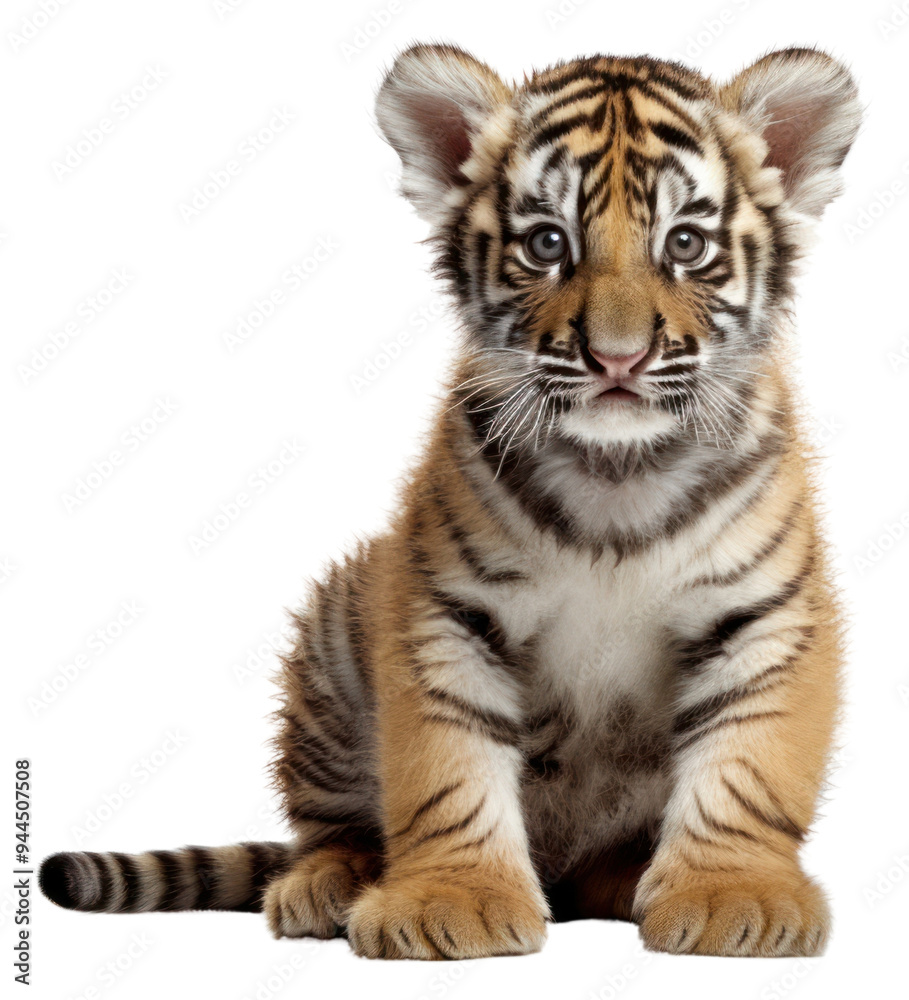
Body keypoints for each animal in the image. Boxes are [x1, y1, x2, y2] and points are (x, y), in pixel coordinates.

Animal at [40, 44, 861, 960]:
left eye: (684, 243)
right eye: (545, 243)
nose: (617, 358)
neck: (615, 470)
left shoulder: (766, 617)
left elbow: (748, 768)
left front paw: (734, 895)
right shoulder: (444, 610)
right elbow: (446, 769)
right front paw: (451, 902)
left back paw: (623, 879)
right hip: (334, 635)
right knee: (327, 828)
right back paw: (329, 885)